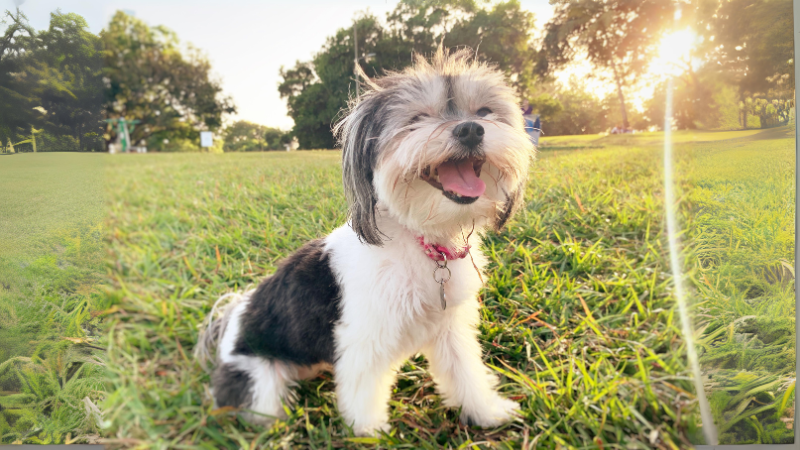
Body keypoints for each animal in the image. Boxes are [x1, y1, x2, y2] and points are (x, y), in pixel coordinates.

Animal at [196, 46, 536, 436]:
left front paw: (487, 411)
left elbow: (464, 370)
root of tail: (231, 319)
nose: (470, 129)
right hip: (259, 379)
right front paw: (370, 432)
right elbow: (363, 388)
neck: (422, 240)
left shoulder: (450, 327)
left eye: (484, 112)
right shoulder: (363, 338)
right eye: (418, 118)